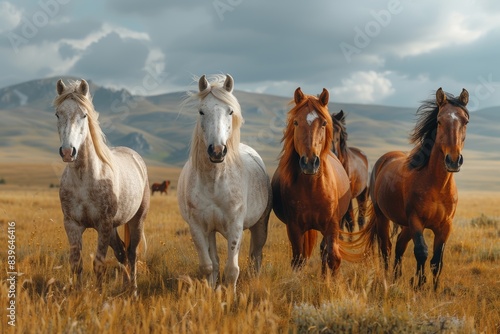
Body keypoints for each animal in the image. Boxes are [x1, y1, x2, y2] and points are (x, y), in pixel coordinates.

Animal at [54, 79, 149, 290]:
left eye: (84, 114)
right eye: (58, 114)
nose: (68, 152)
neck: (84, 180)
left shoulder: (103, 224)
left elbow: (98, 264)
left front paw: (97, 294)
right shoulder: (72, 224)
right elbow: (76, 264)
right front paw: (78, 293)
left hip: (136, 220)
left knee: (132, 253)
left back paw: (133, 289)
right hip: (113, 228)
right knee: (122, 252)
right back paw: (125, 285)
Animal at [179, 74, 274, 288]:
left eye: (230, 111)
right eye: (201, 111)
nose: (217, 151)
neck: (214, 182)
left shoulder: (235, 226)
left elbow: (232, 270)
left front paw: (230, 295)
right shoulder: (198, 227)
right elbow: (208, 266)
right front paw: (210, 292)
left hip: (260, 224)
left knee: (256, 254)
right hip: (211, 231)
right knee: (215, 261)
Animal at [272, 87, 362, 276]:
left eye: (323, 123)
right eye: (296, 122)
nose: (309, 162)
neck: (312, 188)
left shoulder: (332, 226)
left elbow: (333, 258)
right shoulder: (294, 228)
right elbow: (298, 261)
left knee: (323, 251)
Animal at [360, 87, 468, 290]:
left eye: (465, 121)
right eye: (439, 121)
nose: (453, 160)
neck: (437, 185)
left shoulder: (445, 226)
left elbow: (437, 260)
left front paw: (433, 289)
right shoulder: (416, 221)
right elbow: (421, 252)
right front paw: (419, 284)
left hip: (405, 225)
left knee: (399, 246)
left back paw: (397, 277)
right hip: (382, 216)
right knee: (386, 248)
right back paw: (387, 279)